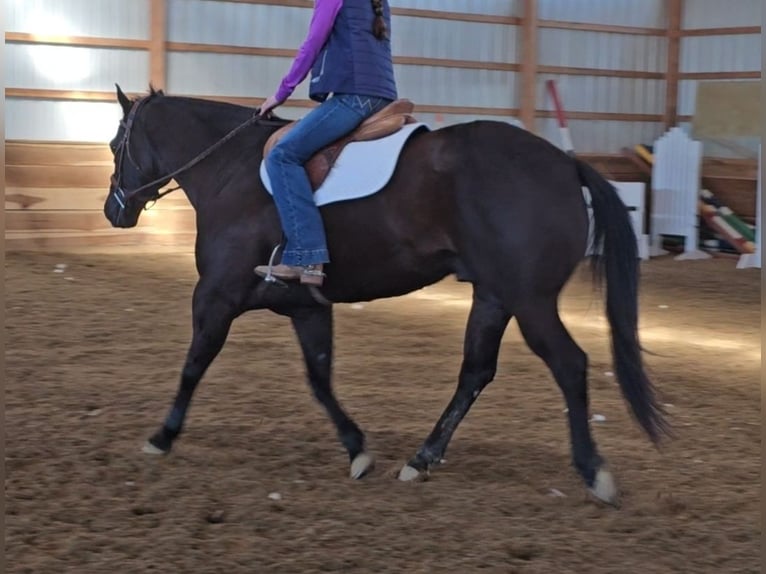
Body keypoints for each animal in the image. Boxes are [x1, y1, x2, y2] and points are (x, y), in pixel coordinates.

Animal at [103, 85, 668, 505]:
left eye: (114, 146)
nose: (113, 210)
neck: (232, 171)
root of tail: (565, 163)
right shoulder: (304, 307)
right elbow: (320, 378)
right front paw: (356, 448)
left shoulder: (216, 296)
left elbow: (194, 363)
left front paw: (162, 435)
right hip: (494, 297)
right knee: (475, 373)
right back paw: (421, 459)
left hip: (530, 300)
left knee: (569, 365)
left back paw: (593, 471)